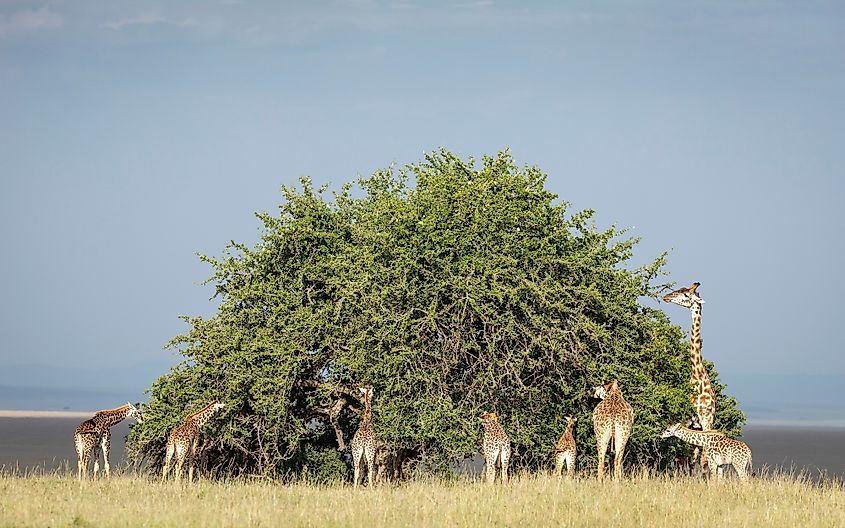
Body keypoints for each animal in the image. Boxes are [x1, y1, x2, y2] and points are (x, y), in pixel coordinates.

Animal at [664, 282, 716, 472]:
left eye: (686, 295)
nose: (666, 297)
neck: (698, 376)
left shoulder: (705, 420)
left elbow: (701, 458)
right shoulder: (690, 421)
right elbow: (689, 457)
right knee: (685, 457)